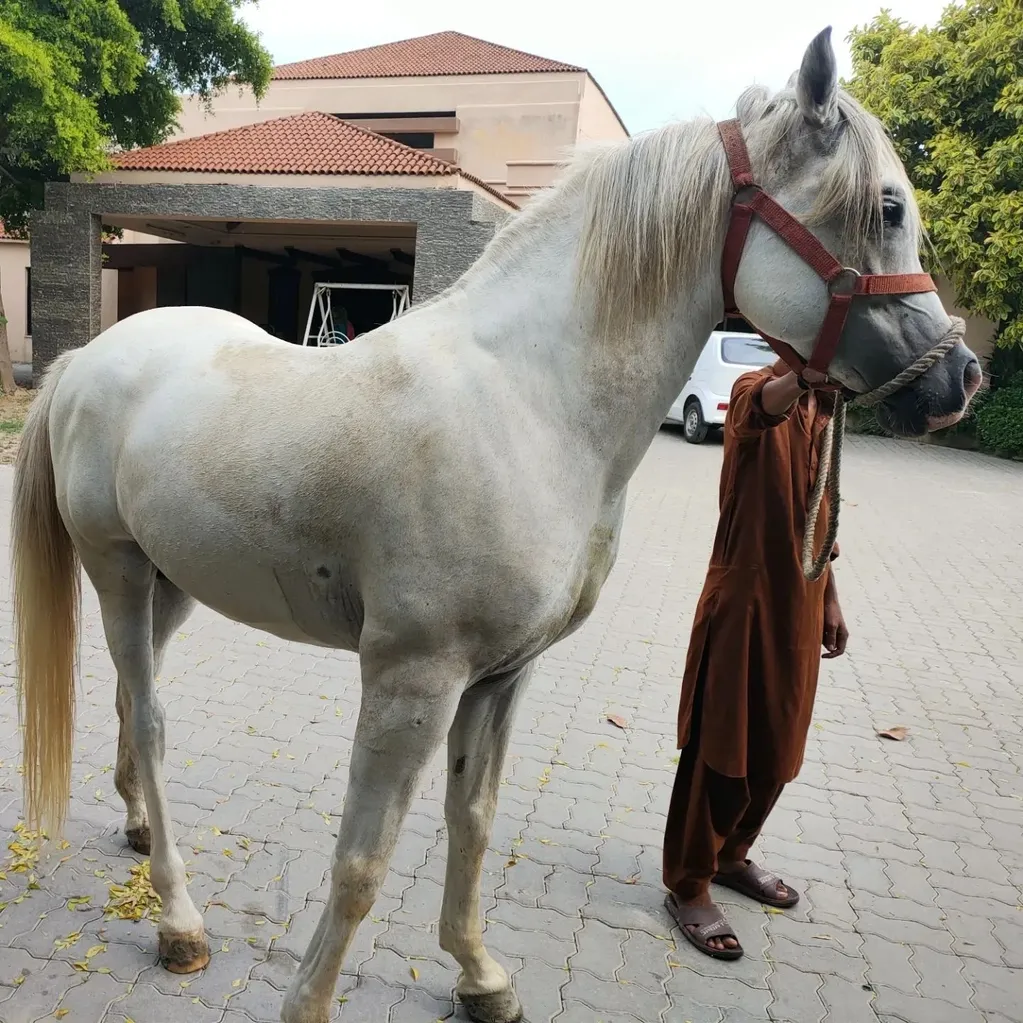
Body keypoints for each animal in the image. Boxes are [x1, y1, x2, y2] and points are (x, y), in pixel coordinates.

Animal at [12, 28, 980, 1023]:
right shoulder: (412, 679)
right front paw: (311, 1000)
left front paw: (479, 975)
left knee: (132, 707)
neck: (528, 401)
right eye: (886, 205)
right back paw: (179, 918)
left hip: (174, 585)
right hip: (119, 573)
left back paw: (138, 829)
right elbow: (363, 860)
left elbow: (470, 822)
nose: (960, 380)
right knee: (151, 719)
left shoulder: (503, 675)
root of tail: (88, 357)